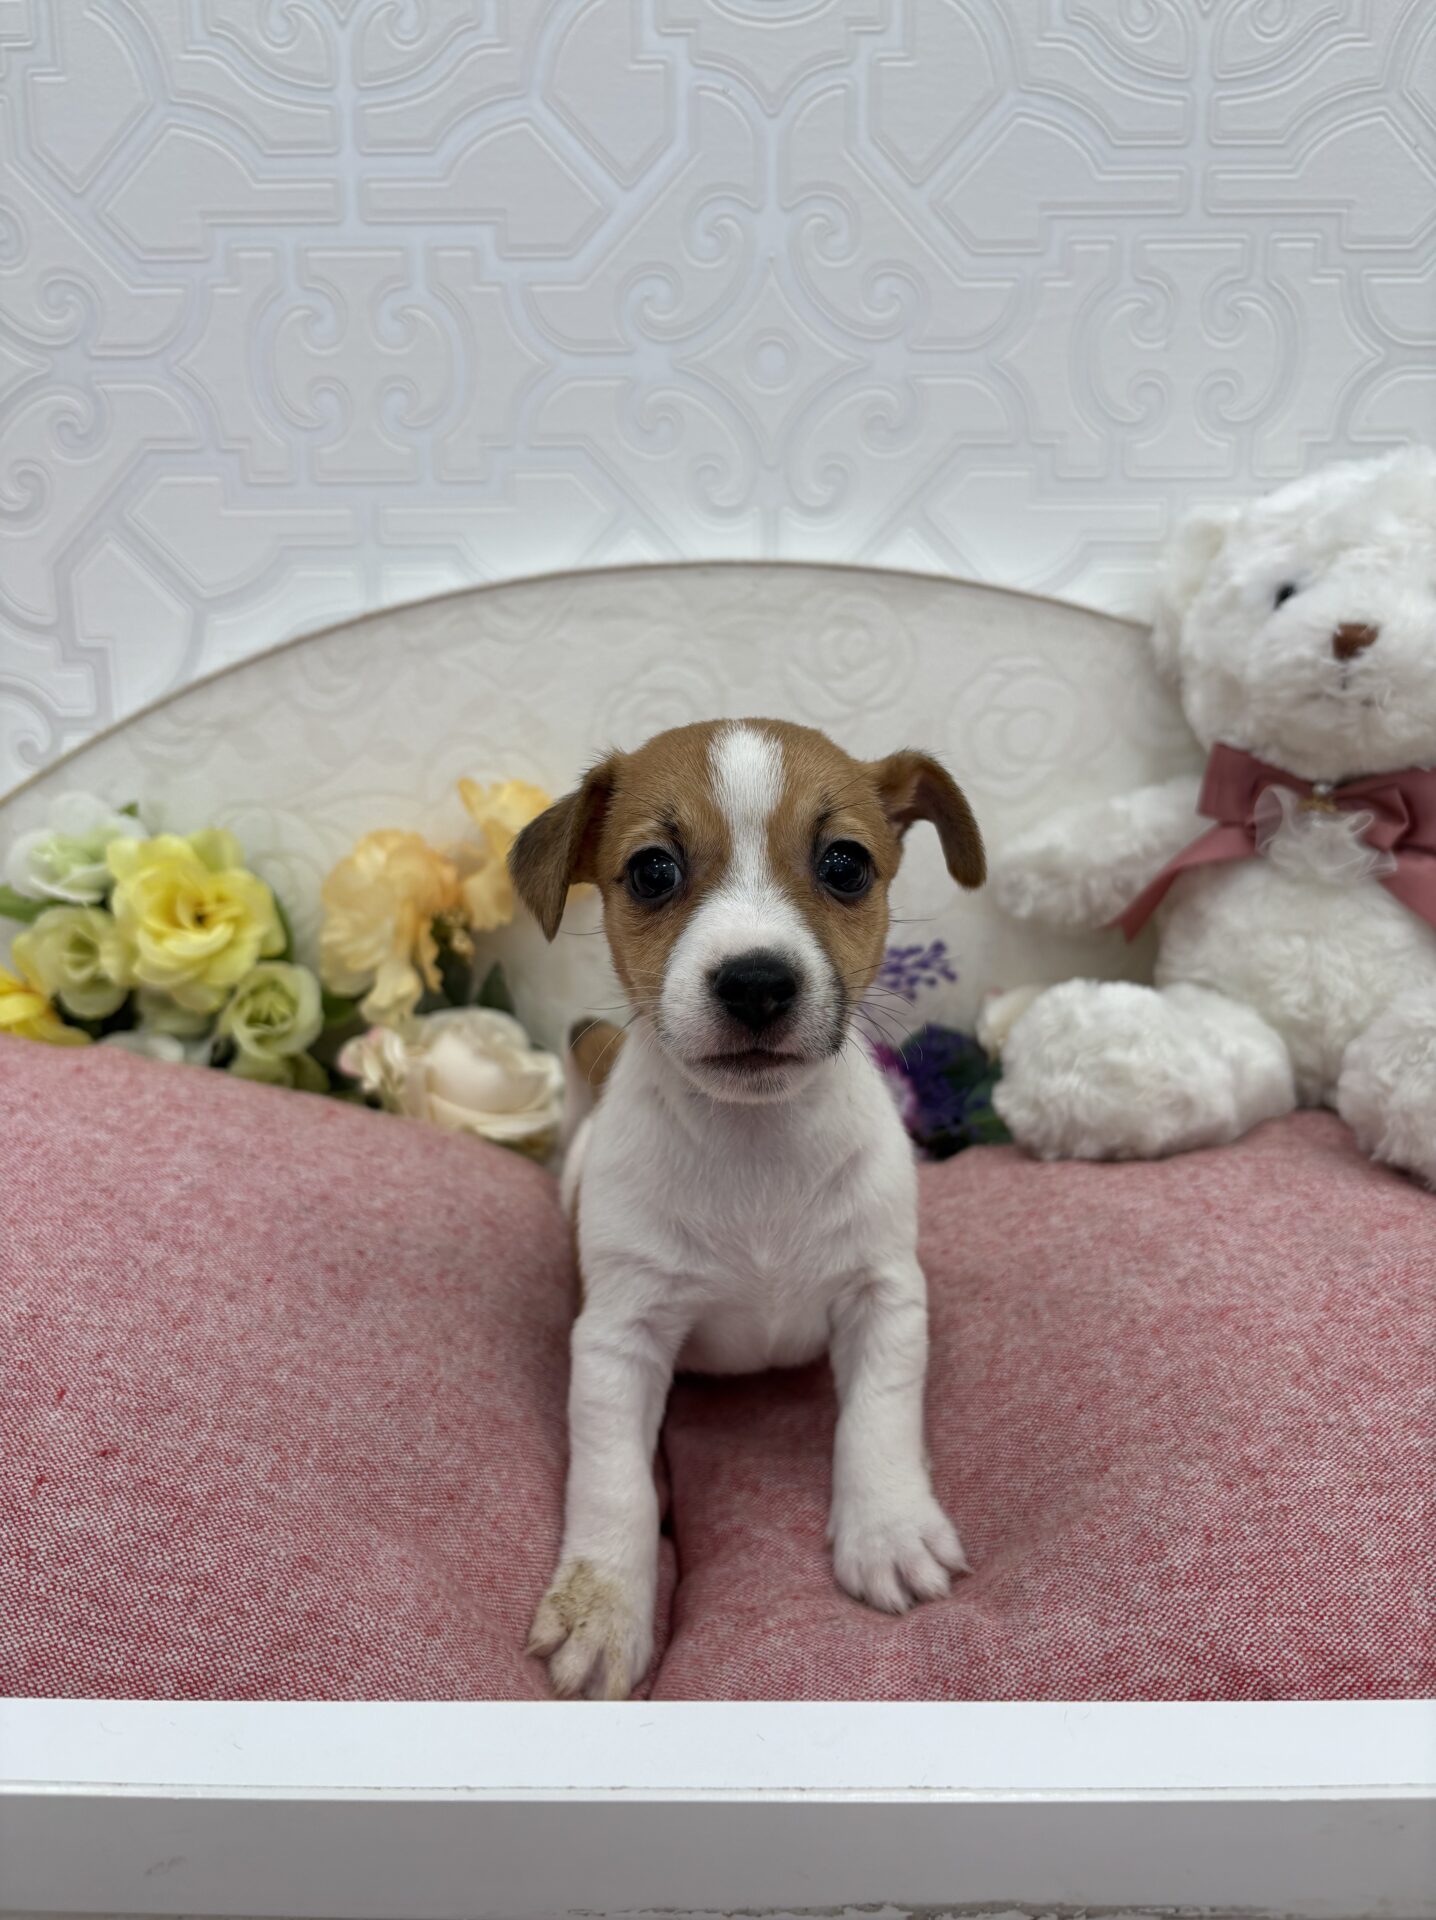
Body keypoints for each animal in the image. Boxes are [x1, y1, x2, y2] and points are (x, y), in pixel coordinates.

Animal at [508, 718, 985, 1698]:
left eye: (845, 863)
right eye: (653, 870)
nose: (757, 982)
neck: (756, 1142)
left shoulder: (885, 1297)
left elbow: (880, 1413)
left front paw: (889, 1526)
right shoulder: (617, 1339)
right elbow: (612, 1479)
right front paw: (606, 1605)